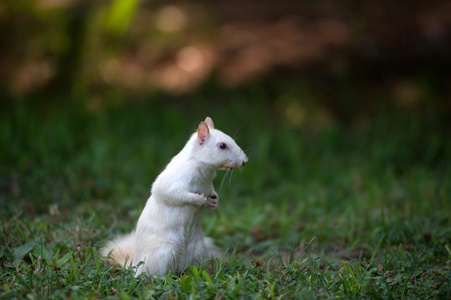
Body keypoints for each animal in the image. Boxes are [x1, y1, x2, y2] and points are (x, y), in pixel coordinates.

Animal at [101, 116, 249, 276]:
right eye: (222, 145)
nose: (245, 160)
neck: (204, 169)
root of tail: (135, 265)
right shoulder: (173, 181)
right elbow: (171, 193)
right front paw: (198, 199)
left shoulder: (208, 186)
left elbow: (212, 192)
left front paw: (214, 201)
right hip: (165, 253)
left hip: (198, 251)